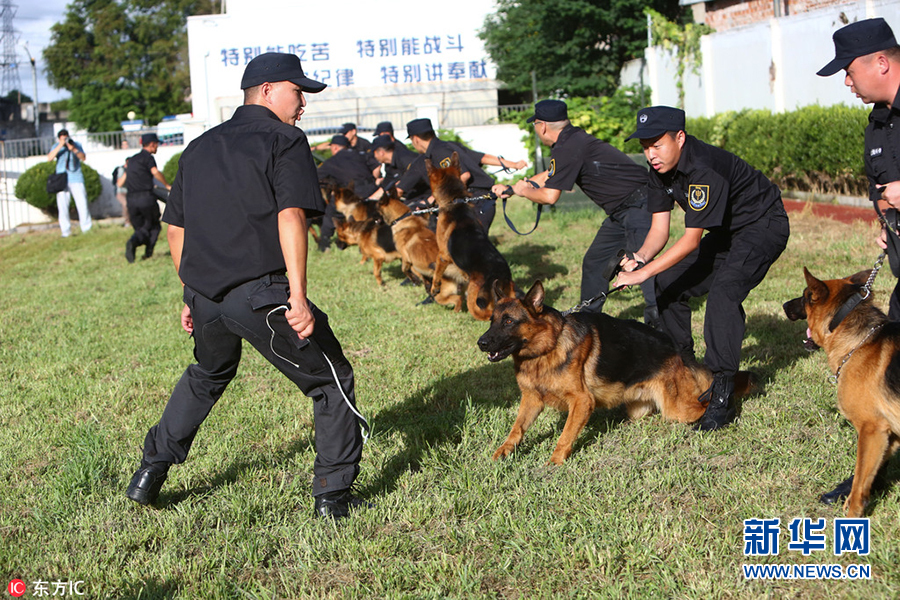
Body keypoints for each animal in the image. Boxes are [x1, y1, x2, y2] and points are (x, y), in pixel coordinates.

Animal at [428, 152, 512, 322]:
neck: (455, 201)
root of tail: (501, 274)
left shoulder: (442, 255)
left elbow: (437, 273)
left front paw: (435, 287)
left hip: (475, 300)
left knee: (488, 313)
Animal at [482, 282, 756, 464]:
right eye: (492, 320)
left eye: (509, 321)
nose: (481, 343)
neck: (547, 347)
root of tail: (677, 351)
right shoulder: (531, 399)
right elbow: (517, 428)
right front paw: (504, 451)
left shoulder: (582, 401)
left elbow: (566, 434)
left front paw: (556, 461)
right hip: (641, 409)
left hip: (678, 409)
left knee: (703, 404)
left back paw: (721, 412)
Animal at [780, 268, 900, 516]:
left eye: (807, 296)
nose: (785, 305)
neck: (861, 342)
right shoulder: (888, 433)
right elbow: (869, 475)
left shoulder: (871, 430)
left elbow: (861, 479)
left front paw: (853, 514)